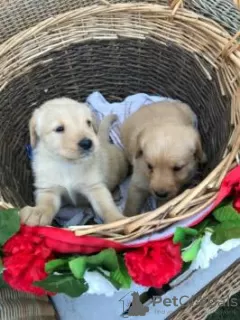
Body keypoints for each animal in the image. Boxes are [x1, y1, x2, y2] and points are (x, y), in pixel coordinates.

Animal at [19, 97, 128, 225]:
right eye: (59, 128)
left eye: (88, 123)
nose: (87, 143)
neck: (67, 164)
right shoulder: (48, 189)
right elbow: (46, 204)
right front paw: (38, 212)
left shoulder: (95, 187)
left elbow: (106, 206)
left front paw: (117, 220)